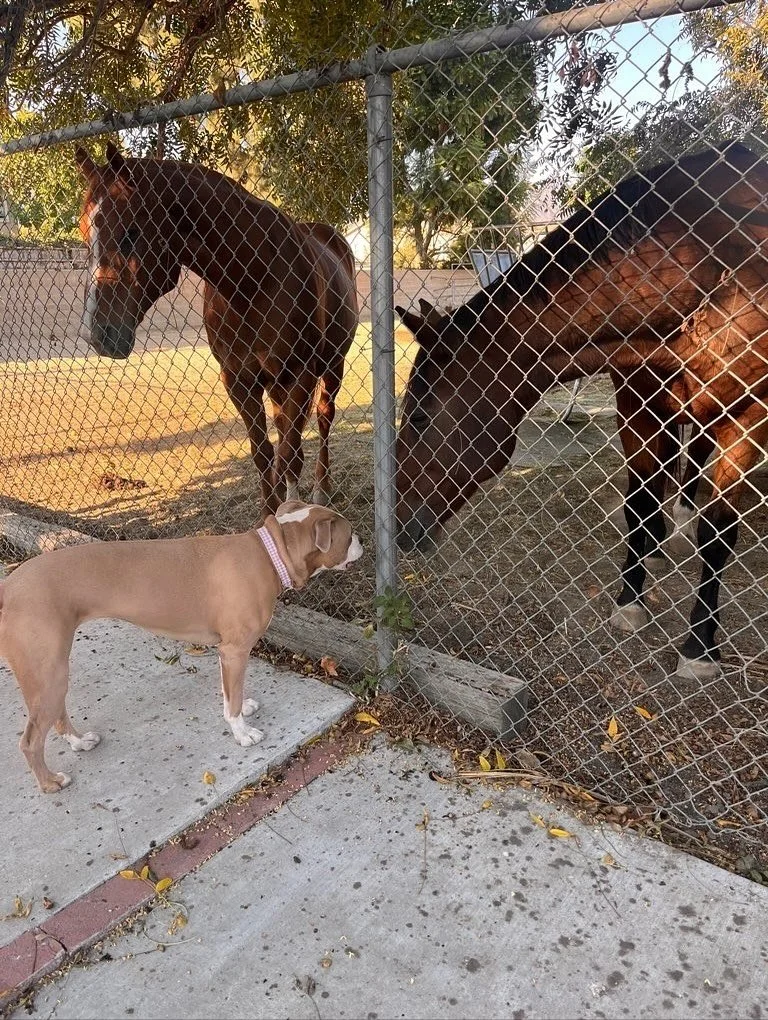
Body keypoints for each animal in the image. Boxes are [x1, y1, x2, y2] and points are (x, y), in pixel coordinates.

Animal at [75, 142, 359, 514]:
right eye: (84, 234)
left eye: (131, 233)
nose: (99, 335)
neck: (253, 279)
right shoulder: (238, 379)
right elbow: (263, 453)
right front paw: (270, 514)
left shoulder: (300, 375)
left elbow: (289, 454)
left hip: (332, 366)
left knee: (324, 419)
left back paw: (322, 491)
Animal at [395, 141, 768, 681]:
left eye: (420, 417)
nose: (398, 524)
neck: (710, 268)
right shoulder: (637, 400)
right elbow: (639, 500)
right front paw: (630, 599)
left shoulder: (748, 416)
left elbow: (717, 531)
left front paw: (700, 645)